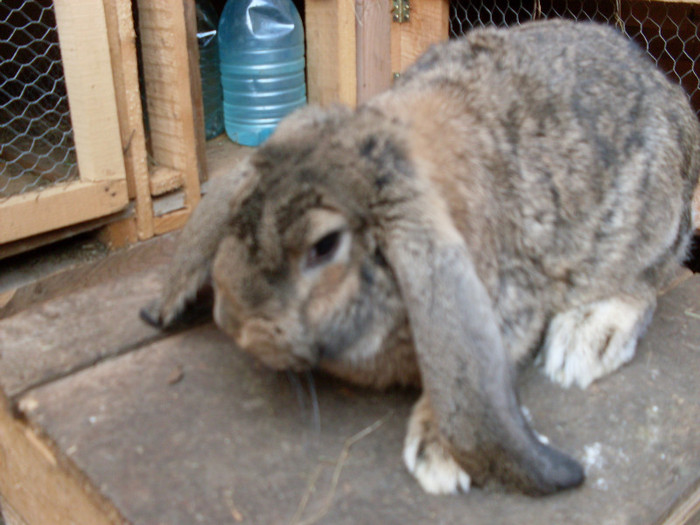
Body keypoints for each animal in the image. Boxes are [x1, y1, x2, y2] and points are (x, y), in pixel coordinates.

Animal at [141, 20, 700, 496]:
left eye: (324, 247)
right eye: (239, 209)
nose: (230, 319)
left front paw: (440, 455)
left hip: (649, 232)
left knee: (646, 283)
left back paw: (584, 341)